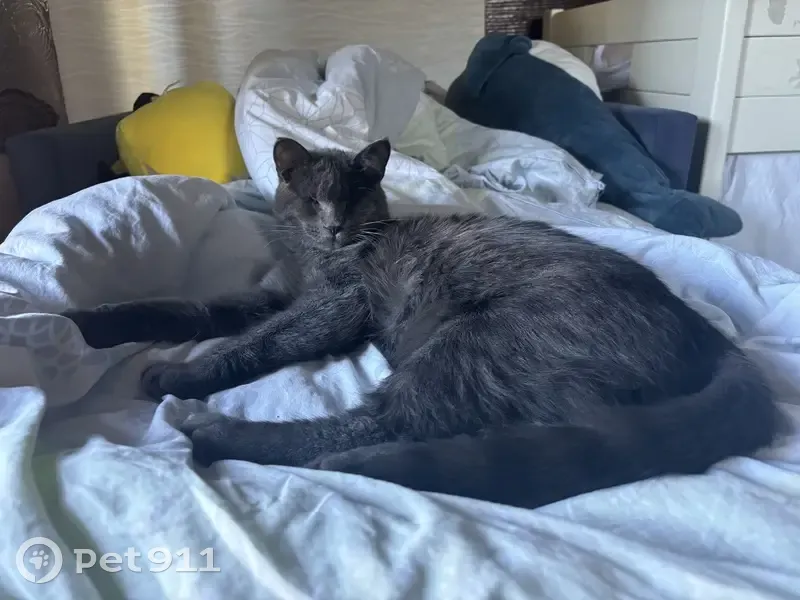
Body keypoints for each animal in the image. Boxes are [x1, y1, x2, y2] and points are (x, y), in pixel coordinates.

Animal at [63, 137, 786, 510]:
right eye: (313, 197)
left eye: (357, 197)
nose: (336, 225)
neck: (316, 262)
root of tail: (711, 337)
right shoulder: (275, 297)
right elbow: (194, 310)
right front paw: (85, 322)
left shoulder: (335, 307)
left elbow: (257, 342)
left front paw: (177, 373)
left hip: (475, 344)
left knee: (375, 424)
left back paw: (219, 433)